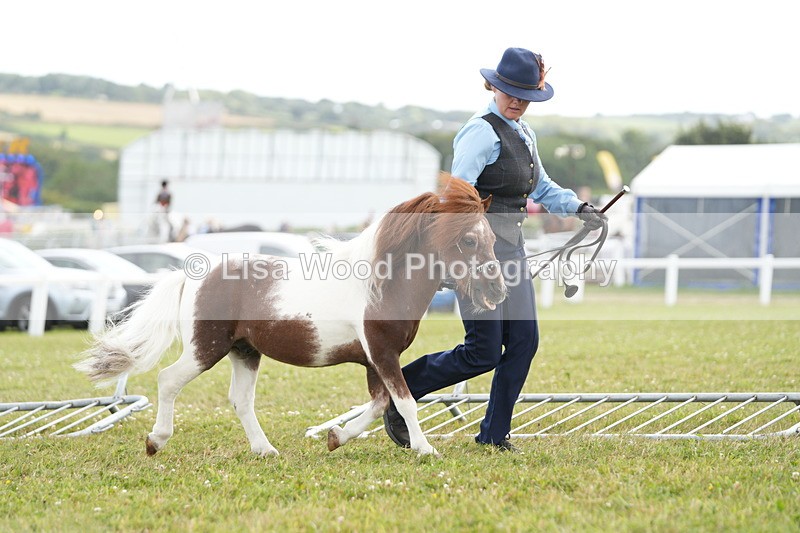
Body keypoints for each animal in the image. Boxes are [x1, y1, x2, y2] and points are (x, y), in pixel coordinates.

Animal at [75, 177, 507, 457]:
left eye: (493, 239)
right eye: (469, 239)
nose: (497, 291)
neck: (383, 282)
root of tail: (192, 275)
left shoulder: (374, 359)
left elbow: (380, 403)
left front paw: (336, 437)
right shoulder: (382, 354)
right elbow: (405, 402)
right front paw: (424, 449)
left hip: (244, 351)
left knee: (240, 400)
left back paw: (265, 449)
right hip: (205, 348)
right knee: (168, 380)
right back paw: (156, 441)